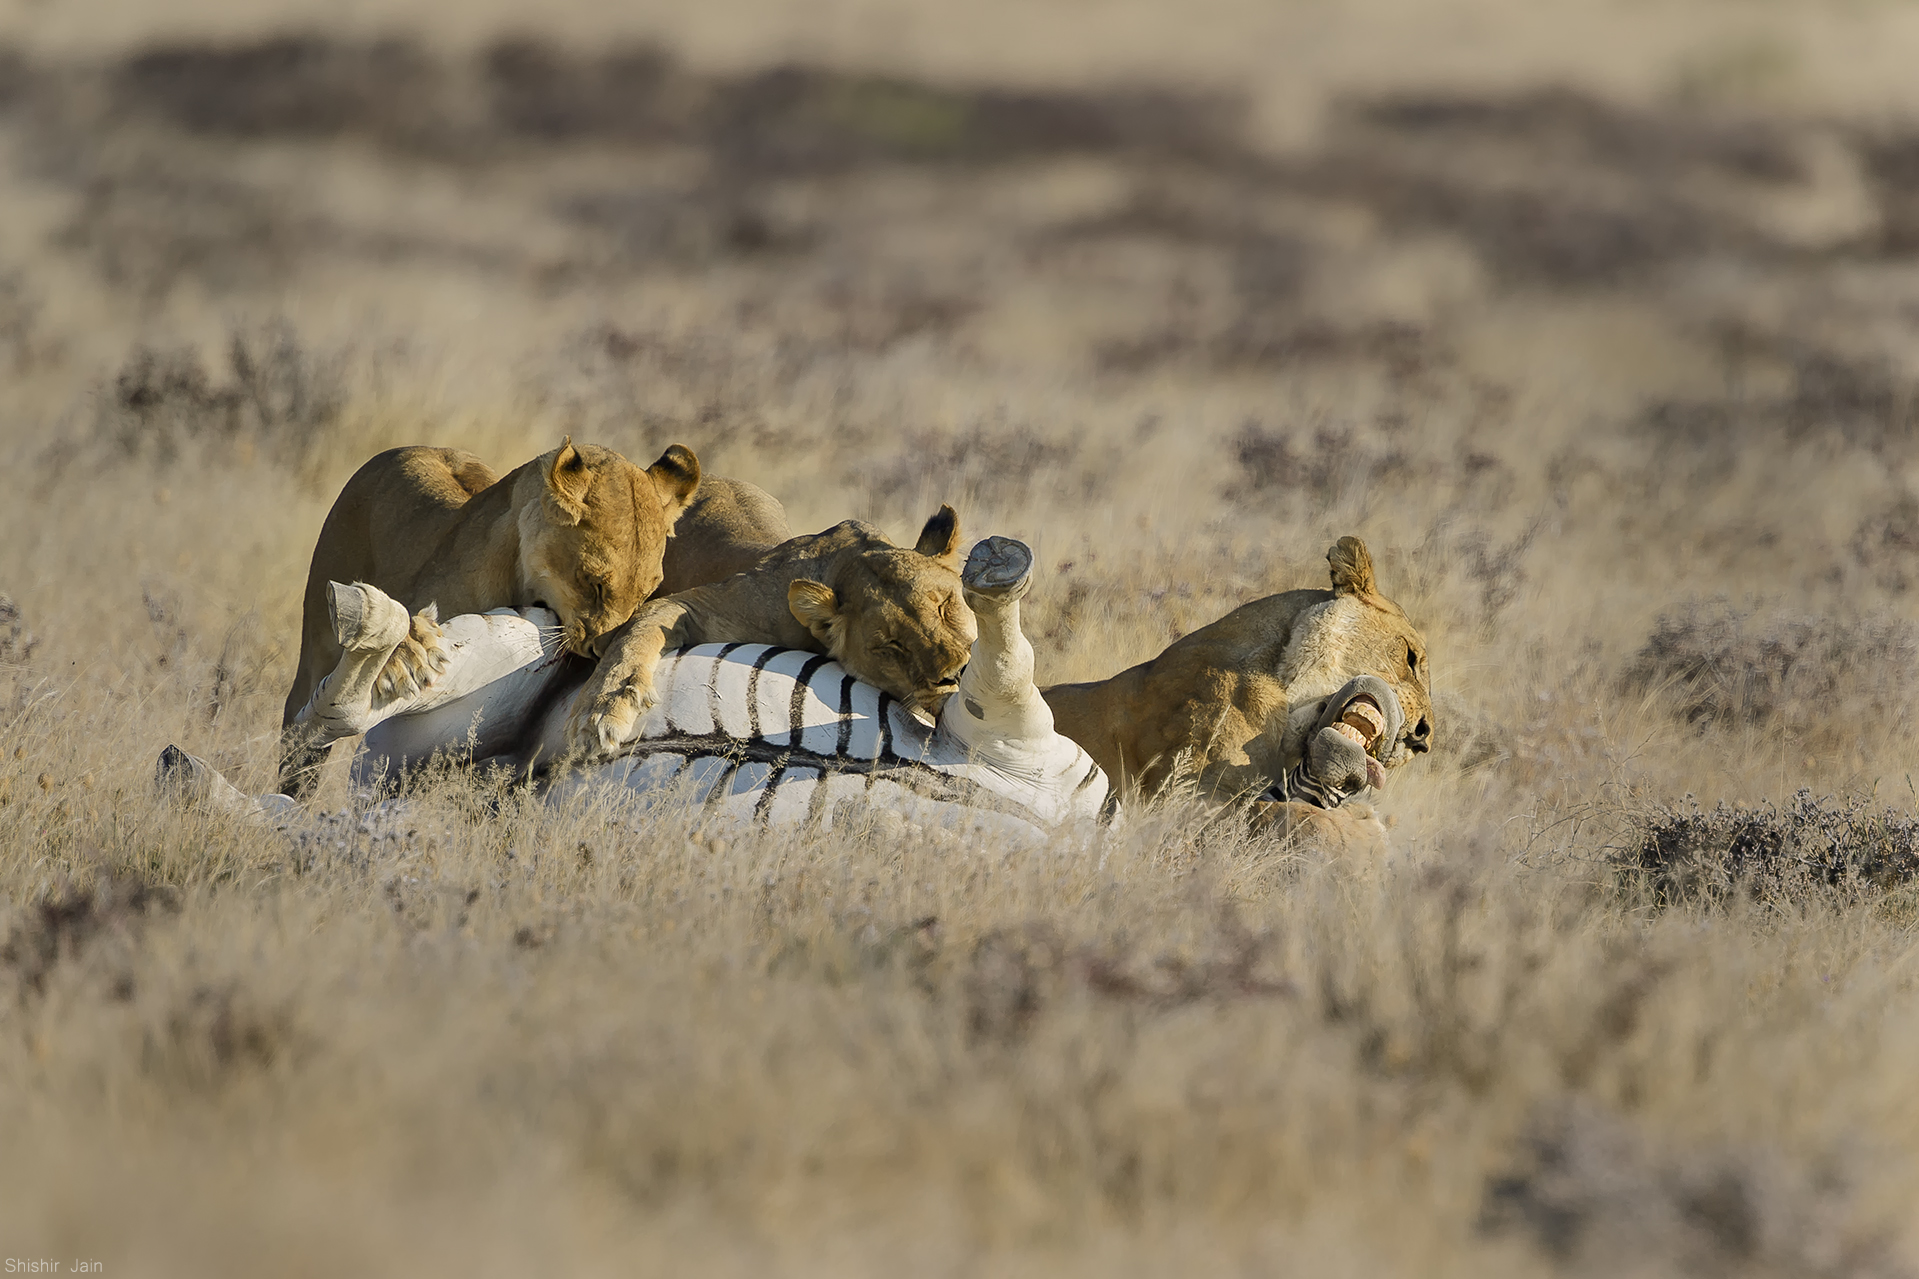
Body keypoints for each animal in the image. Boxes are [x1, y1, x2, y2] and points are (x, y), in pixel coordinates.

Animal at [560, 499, 974, 756]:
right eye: (891, 645)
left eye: (944, 605)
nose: (956, 675)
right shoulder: (712, 605)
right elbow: (637, 633)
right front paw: (600, 713)